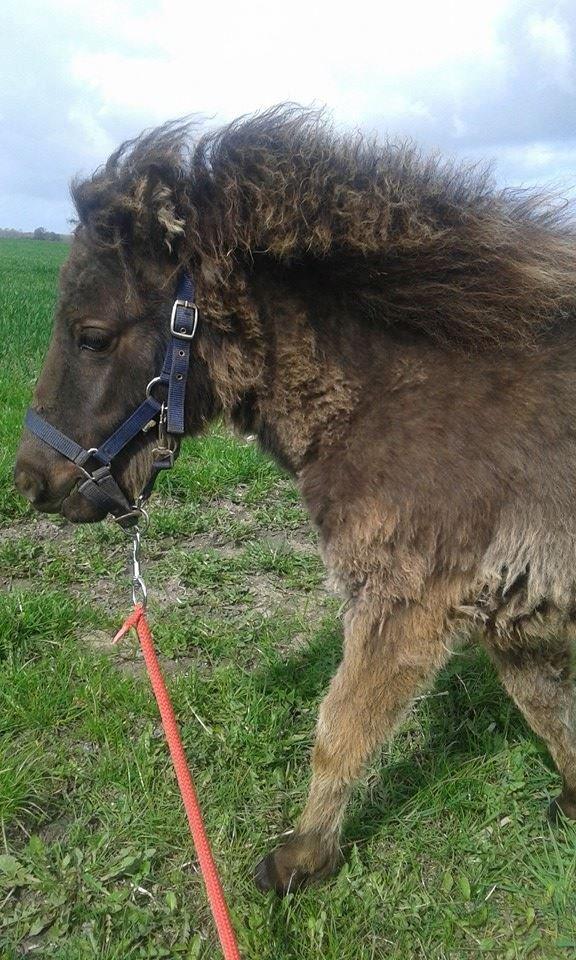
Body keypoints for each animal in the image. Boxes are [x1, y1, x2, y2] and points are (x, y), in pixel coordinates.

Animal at [14, 109, 576, 896]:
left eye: (91, 337)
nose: (30, 482)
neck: (384, 399)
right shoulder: (515, 610)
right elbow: (549, 707)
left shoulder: (409, 599)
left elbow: (341, 729)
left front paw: (303, 856)